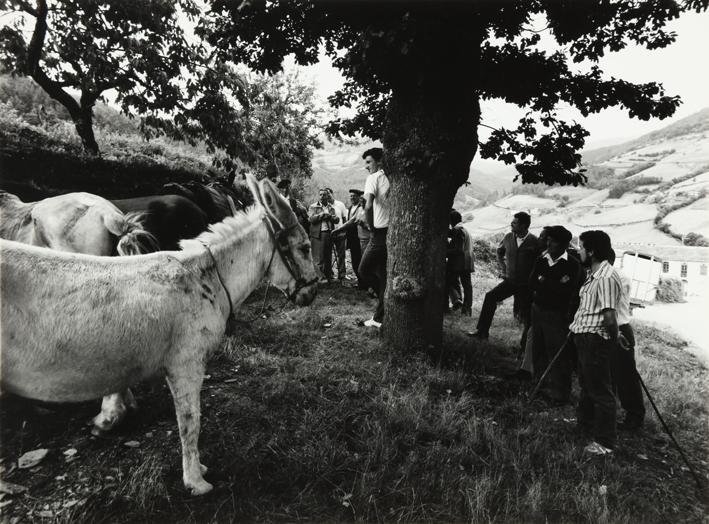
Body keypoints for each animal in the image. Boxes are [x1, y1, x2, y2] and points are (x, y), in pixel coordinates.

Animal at [0, 177, 316, 496]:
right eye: (305, 248)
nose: (312, 292)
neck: (206, 279)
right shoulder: (185, 365)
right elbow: (190, 422)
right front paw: (196, 481)